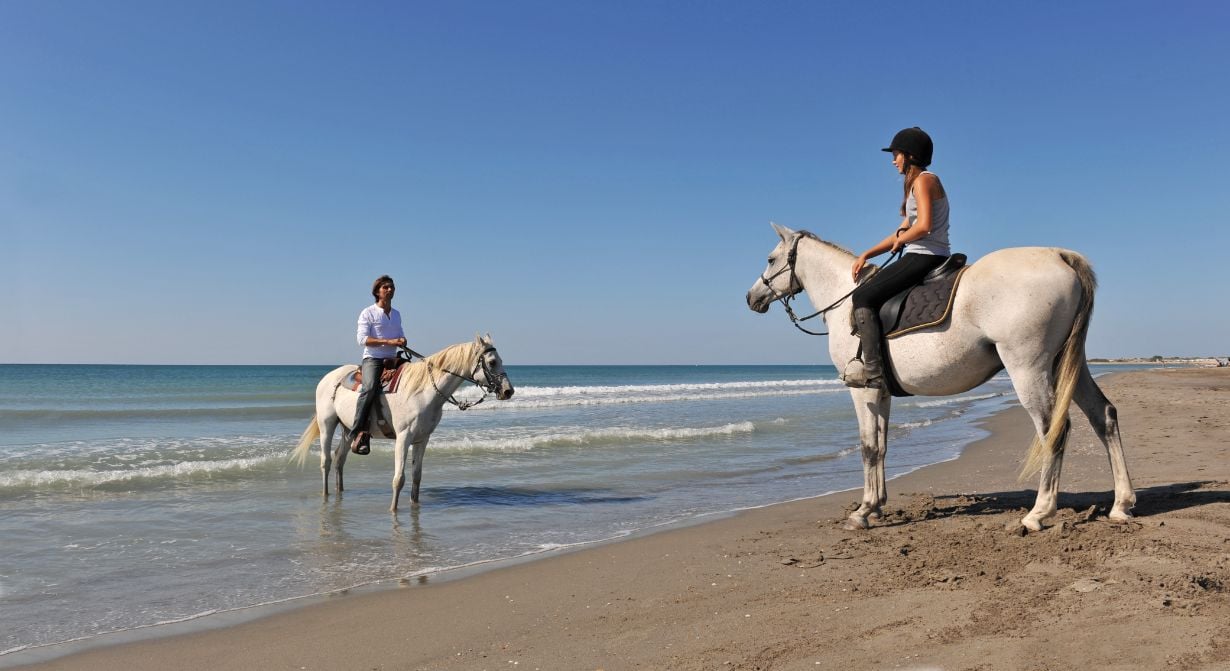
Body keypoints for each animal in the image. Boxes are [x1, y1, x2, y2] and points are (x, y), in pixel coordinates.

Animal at [291, 335, 514, 511]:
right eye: (492, 362)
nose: (508, 391)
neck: (423, 392)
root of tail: (327, 378)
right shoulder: (403, 438)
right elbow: (399, 479)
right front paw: (393, 511)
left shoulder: (422, 439)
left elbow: (416, 476)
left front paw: (414, 506)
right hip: (327, 424)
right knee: (326, 461)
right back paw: (326, 495)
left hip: (348, 429)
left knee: (339, 459)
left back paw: (339, 493)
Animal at [746, 223, 1134, 532]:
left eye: (770, 259)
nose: (752, 297)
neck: (845, 300)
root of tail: (1059, 255)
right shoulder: (881, 391)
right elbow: (882, 446)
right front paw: (878, 506)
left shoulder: (863, 391)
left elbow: (868, 447)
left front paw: (862, 511)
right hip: (1067, 364)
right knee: (1104, 416)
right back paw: (1121, 504)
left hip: (1029, 368)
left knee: (1054, 429)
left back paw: (1038, 513)